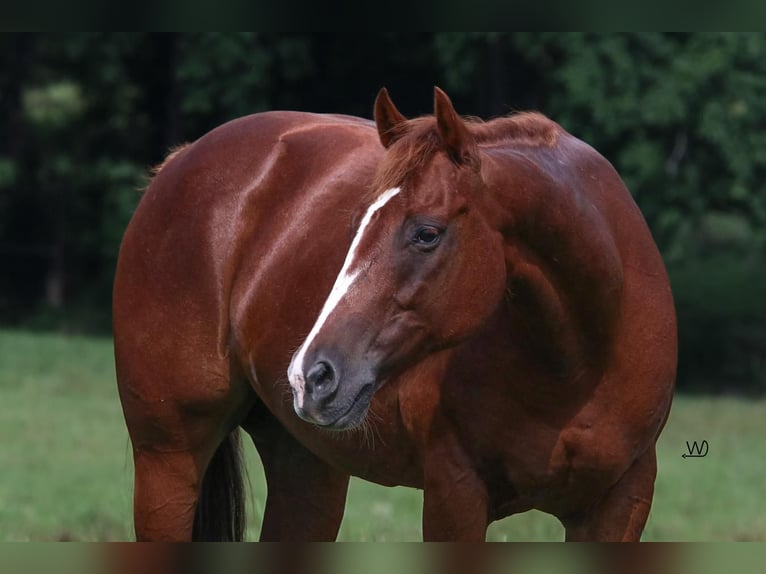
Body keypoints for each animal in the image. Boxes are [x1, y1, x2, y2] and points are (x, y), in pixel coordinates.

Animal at [114, 88, 680, 544]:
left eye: (426, 233)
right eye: (356, 224)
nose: (311, 375)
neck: (579, 362)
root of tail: (180, 162)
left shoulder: (620, 502)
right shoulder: (455, 494)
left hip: (307, 469)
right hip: (168, 459)